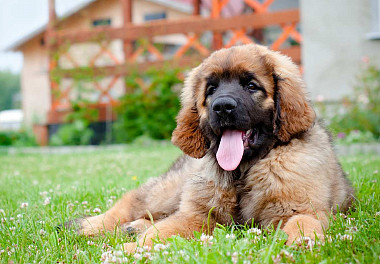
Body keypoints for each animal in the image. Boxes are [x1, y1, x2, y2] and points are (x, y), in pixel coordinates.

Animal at [64, 43, 354, 252]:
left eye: (251, 86)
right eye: (211, 89)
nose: (222, 107)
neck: (243, 172)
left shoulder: (300, 208)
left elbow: (304, 223)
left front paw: (301, 244)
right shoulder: (198, 214)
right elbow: (162, 232)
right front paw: (131, 250)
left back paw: (131, 228)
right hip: (167, 191)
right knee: (131, 203)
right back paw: (89, 226)